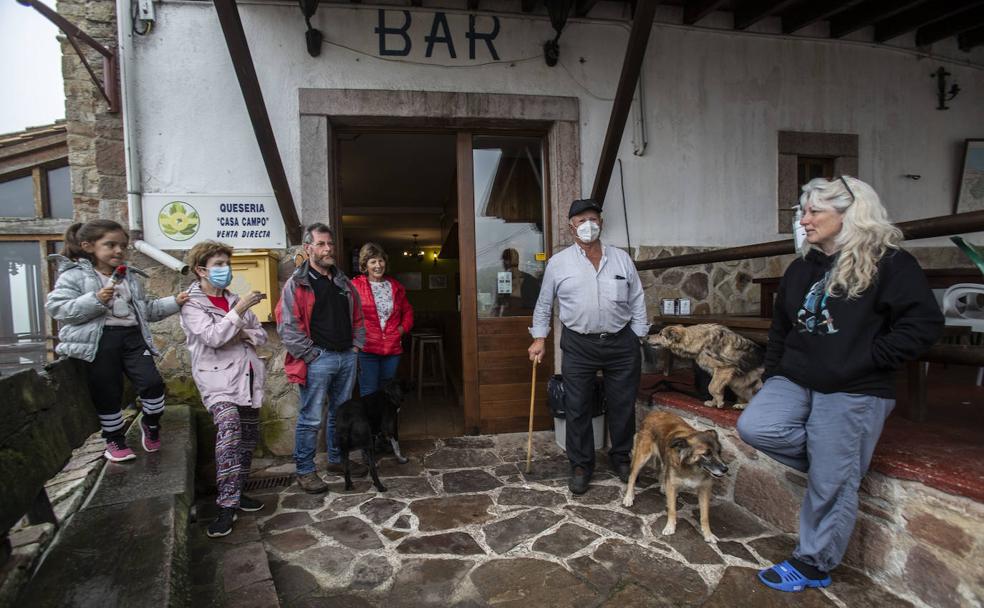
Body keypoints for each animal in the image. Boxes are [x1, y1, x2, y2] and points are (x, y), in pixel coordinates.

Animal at [628, 410, 728, 544]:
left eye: (719, 452)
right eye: (706, 454)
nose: (725, 469)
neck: (693, 469)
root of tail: (654, 412)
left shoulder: (704, 490)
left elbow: (705, 516)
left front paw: (708, 534)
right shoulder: (672, 485)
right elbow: (672, 509)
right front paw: (670, 527)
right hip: (642, 456)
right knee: (632, 476)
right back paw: (628, 497)